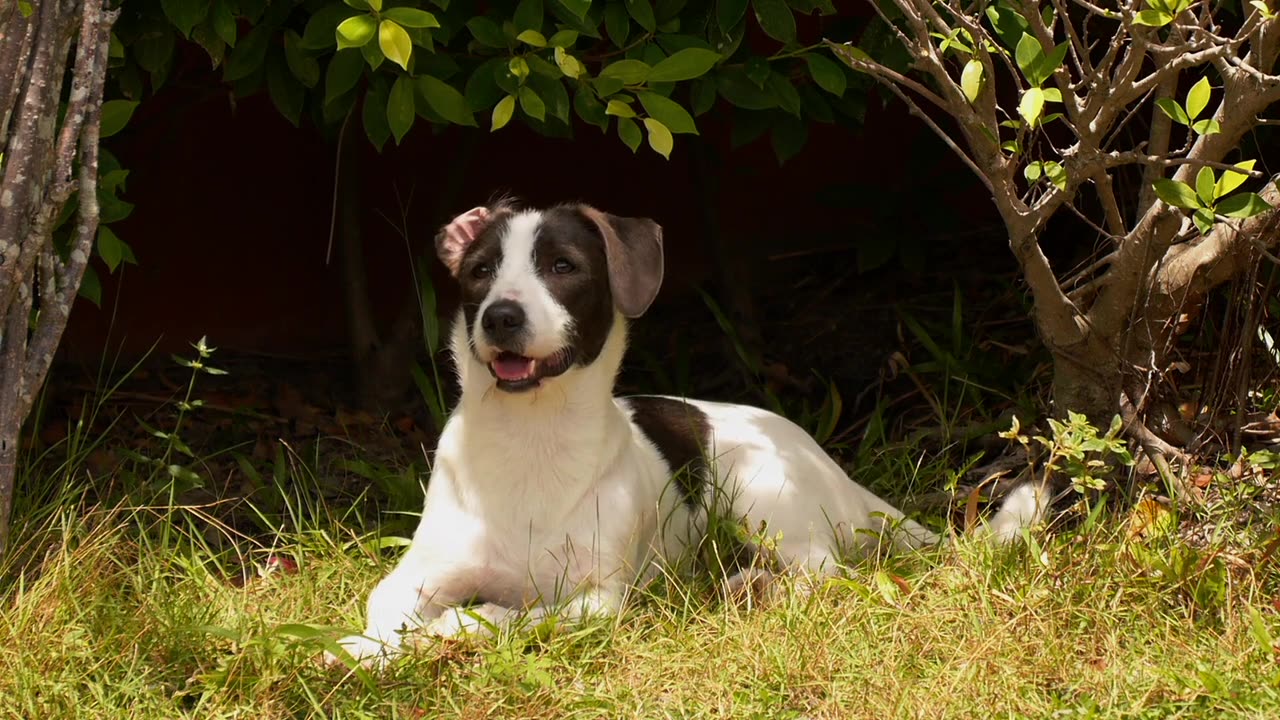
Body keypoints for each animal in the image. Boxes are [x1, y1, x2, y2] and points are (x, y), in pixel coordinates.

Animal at [325, 198, 1044, 666]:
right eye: (478, 271)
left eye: (563, 266)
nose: (500, 316)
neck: (532, 443)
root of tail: (842, 477)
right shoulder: (415, 575)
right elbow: (389, 613)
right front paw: (369, 649)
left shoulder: (599, 600)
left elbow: (500, 617)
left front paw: (451, 629)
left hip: (756, 486)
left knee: (824, 570)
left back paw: (754, 589)